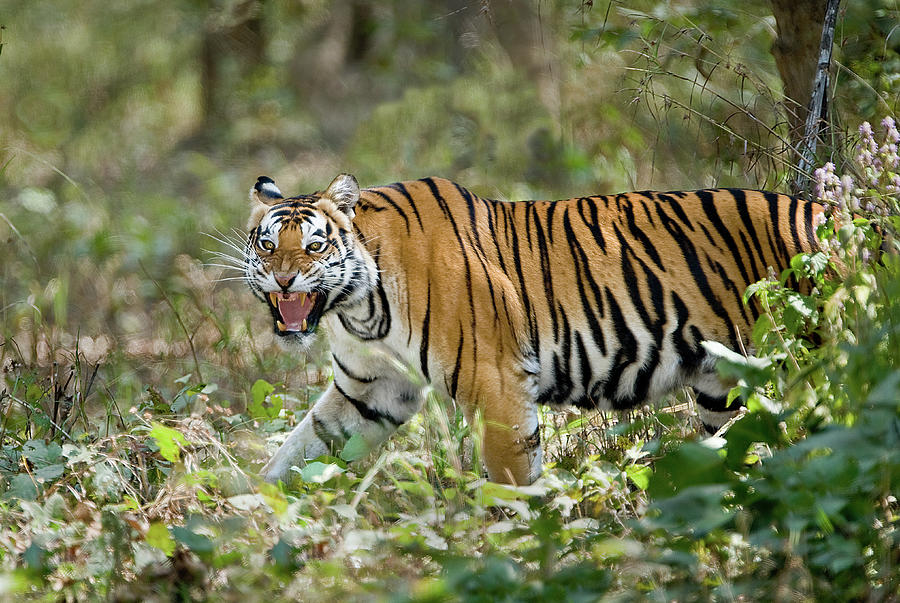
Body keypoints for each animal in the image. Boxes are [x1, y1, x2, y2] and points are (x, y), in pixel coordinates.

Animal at [241, 173, 824, 486]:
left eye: (314, 245)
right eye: (267, 244)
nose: (283, 277)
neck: (361, 307)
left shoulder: (495, 381)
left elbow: (510, 477)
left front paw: (515, 543)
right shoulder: (370, 390)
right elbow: (300, 448)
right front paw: (249, 516)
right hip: (721, 387)